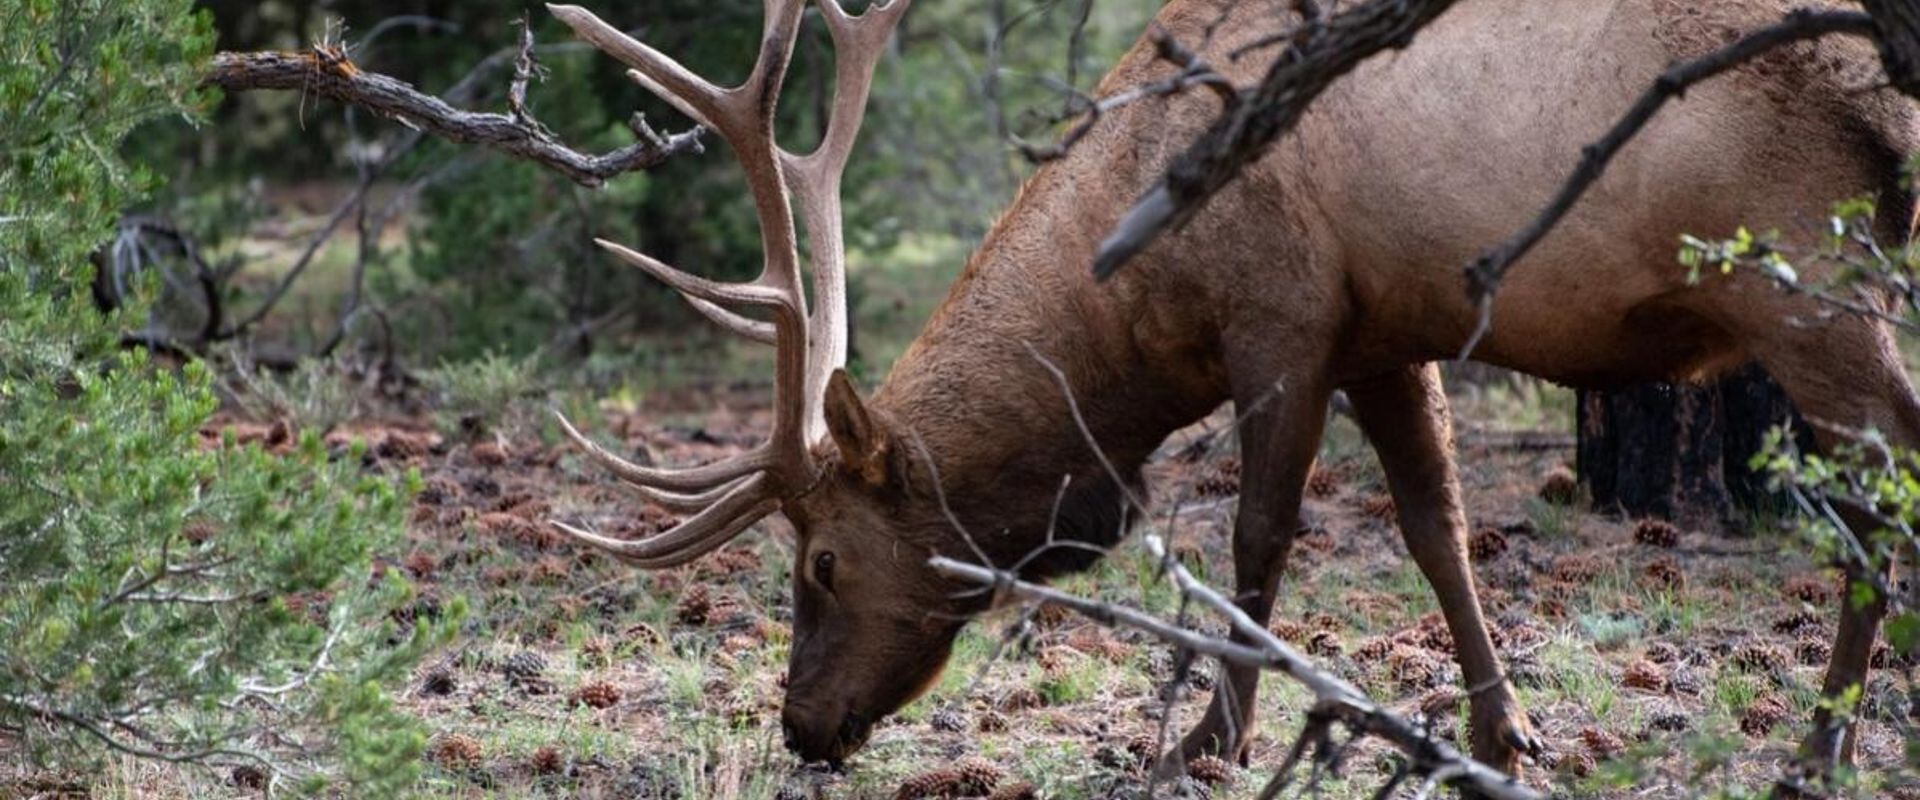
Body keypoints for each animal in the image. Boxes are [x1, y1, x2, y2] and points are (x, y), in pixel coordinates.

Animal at [541, 0, 1920, 781]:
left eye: (822, 559)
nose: (801, 722)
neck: (1133, 302)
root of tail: (1884, 87)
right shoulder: (1387, 328)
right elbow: (1437, 526)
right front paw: (1501, 731)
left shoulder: (1283, 319)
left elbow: (1259, 536)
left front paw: (1211, 738)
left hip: (1810, 276)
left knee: (1884, 481)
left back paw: (1824, 737)